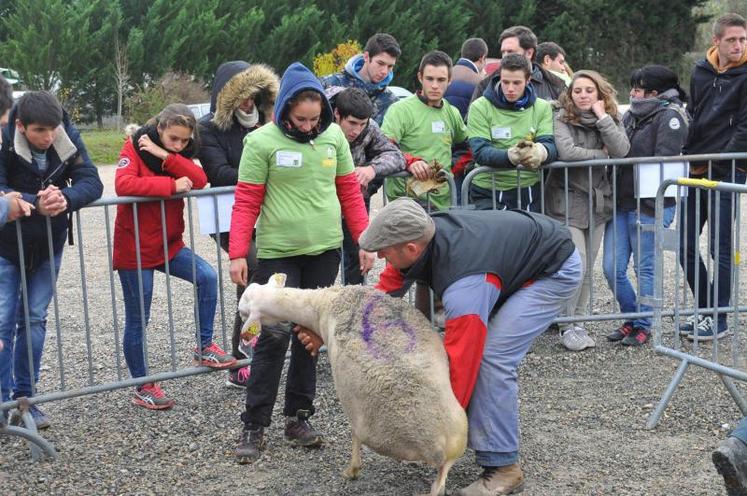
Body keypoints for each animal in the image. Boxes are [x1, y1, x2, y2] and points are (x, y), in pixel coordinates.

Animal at [241, 274, 468, 496]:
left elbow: (354, 436)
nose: (239, 311)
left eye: (245, 304)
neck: (323, 302)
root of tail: (450, 446)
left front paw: (352, 470)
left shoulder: (352, 403)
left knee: (435, 488)